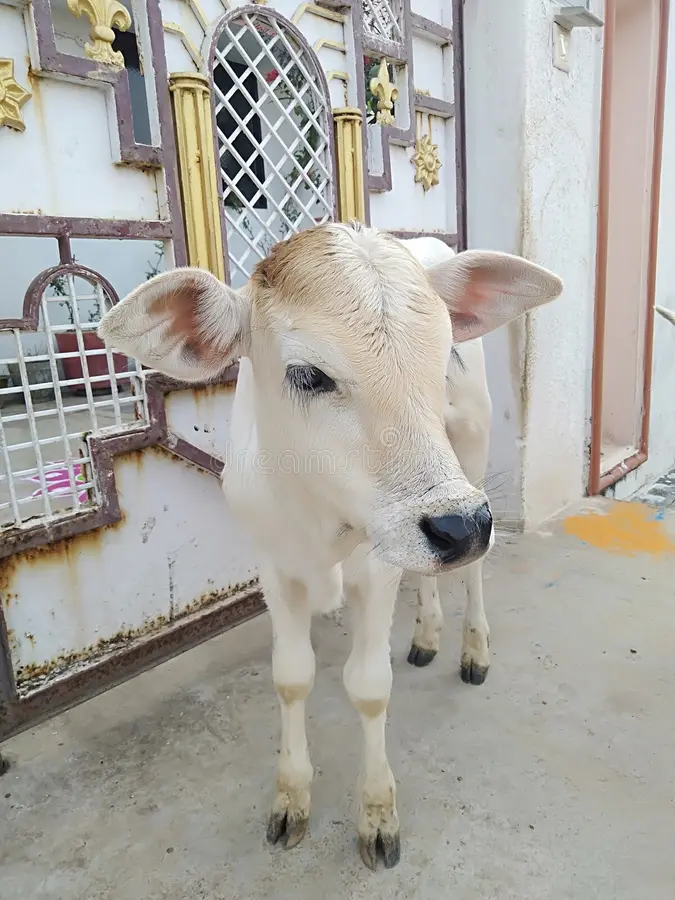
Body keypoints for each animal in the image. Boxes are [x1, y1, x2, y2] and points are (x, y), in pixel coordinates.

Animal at [98, 223, 563, 869]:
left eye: (443, 353)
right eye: (309, 375)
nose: (460, 526)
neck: (316, 514)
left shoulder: (378, 567)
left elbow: (368, 687)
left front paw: (377, 814)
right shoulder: (274, 570)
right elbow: (291, 676)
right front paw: (291, 798)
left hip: (470, 456)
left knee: (470, 574)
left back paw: (473, 649)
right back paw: (426, 635)